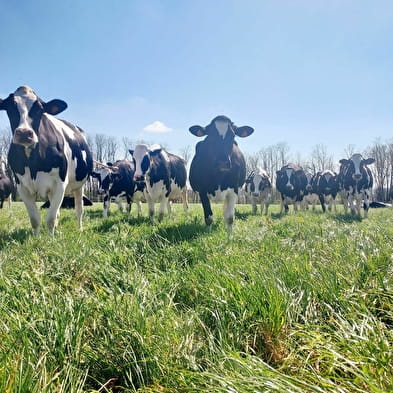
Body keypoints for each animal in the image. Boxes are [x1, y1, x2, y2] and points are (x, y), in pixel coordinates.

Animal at [0, 85, 92, 233]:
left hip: (80, 185)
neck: (33, 162)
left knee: (79, 209)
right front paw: (37, 237)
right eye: (10, 107)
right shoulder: (22, 186)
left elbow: (50, 219)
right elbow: (35, 219)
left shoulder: (60, 183)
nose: (24, 133)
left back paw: (79, 229)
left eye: (39, 109)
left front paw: (50, 238)